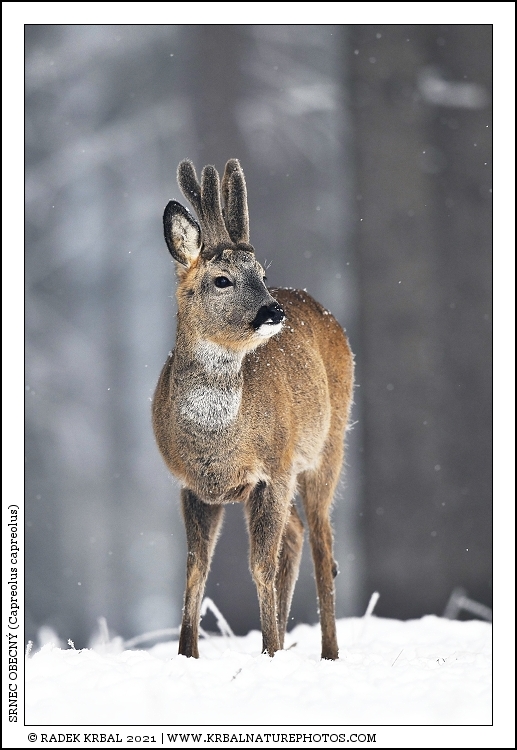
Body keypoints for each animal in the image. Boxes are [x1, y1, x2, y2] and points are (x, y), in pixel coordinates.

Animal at [152, 159, 354, 660]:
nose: (272, 312)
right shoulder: (192, 485)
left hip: (328, 447)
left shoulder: (272, 470)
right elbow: (196, 568)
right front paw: (187, 654)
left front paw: (270, 651)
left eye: (260, 273)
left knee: (322, 545)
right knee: (297, 534)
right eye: (221, 279)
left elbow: (260, 565)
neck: (217, 444)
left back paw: (327, 652)